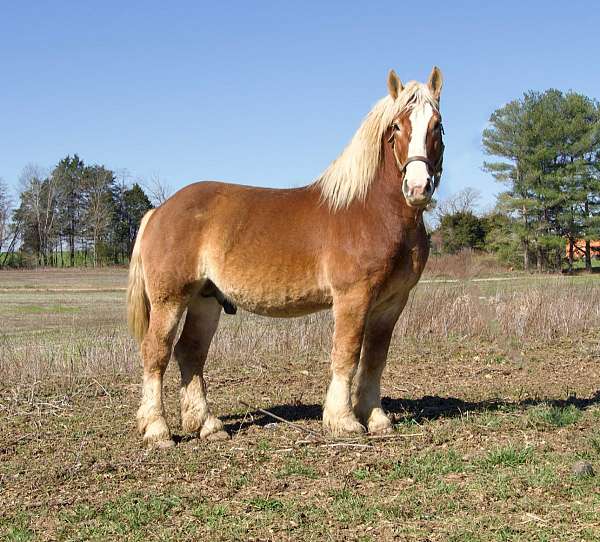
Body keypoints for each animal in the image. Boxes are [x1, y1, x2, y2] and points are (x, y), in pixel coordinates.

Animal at [127, 69, 446, 450]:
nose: (418, 187)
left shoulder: (391, 303)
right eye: (397, 127)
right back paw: (157, 430)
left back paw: (208, 425)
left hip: (205, 299)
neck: (370, 210)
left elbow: (374, 358)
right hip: (170, 299)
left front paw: (376, 418)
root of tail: (159, 211)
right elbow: (347, 353)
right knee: (156, 353)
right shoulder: (353, 298)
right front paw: (343, 421)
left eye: (438, 126)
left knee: (190, 353)